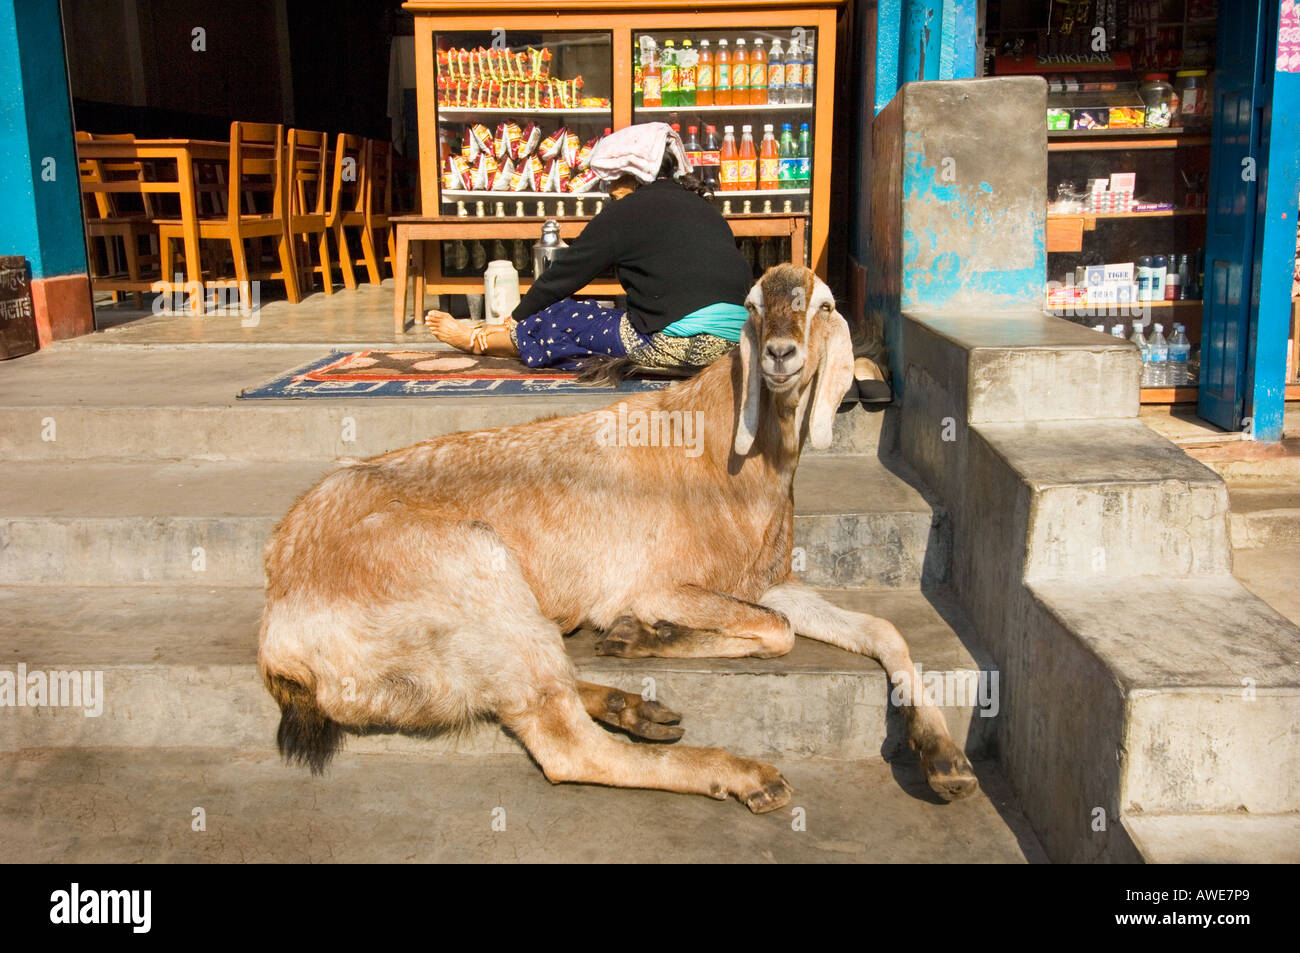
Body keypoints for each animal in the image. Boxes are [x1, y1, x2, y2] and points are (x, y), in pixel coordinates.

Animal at [258, 262, 977, 811]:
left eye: (824, 305)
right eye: (751, 307)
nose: (780, 355)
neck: (721, 455)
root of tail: (279, 629)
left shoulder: (769, 581)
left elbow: (880, 629)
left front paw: (946, 761)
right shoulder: (659, 583)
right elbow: (776, 632)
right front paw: (644, 633)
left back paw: (636, 699)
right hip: (477, 572)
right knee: (566, 744)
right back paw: (741, 773)